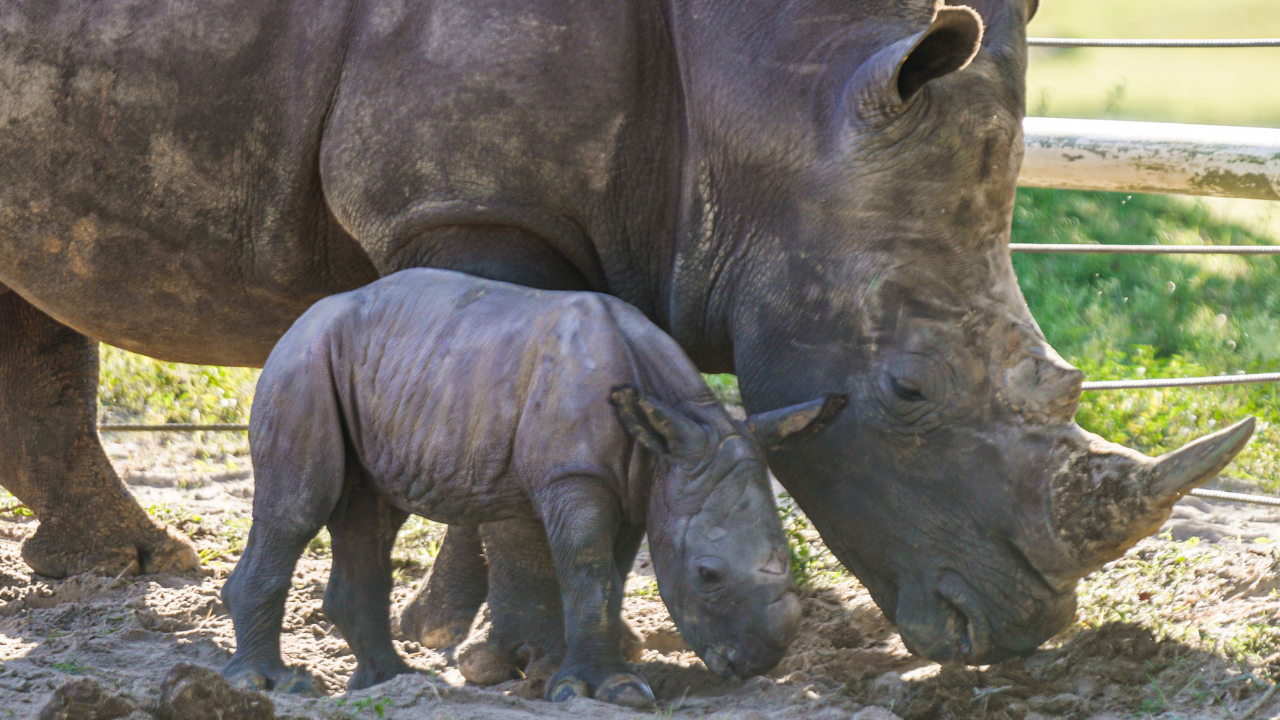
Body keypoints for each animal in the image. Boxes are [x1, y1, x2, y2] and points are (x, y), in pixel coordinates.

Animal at [225, 268, 835, 705]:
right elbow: (591, 576)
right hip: (302, 364)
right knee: (298, 508)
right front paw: (609, 691)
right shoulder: (576, 476)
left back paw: (389, 681)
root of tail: (298, 321)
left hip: (396, 371)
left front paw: (560, 676)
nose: (758, 662)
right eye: (708, 575)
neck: (683, 424)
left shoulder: (641, 483)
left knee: (370, 516)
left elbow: (608, 578)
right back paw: (273, 685)